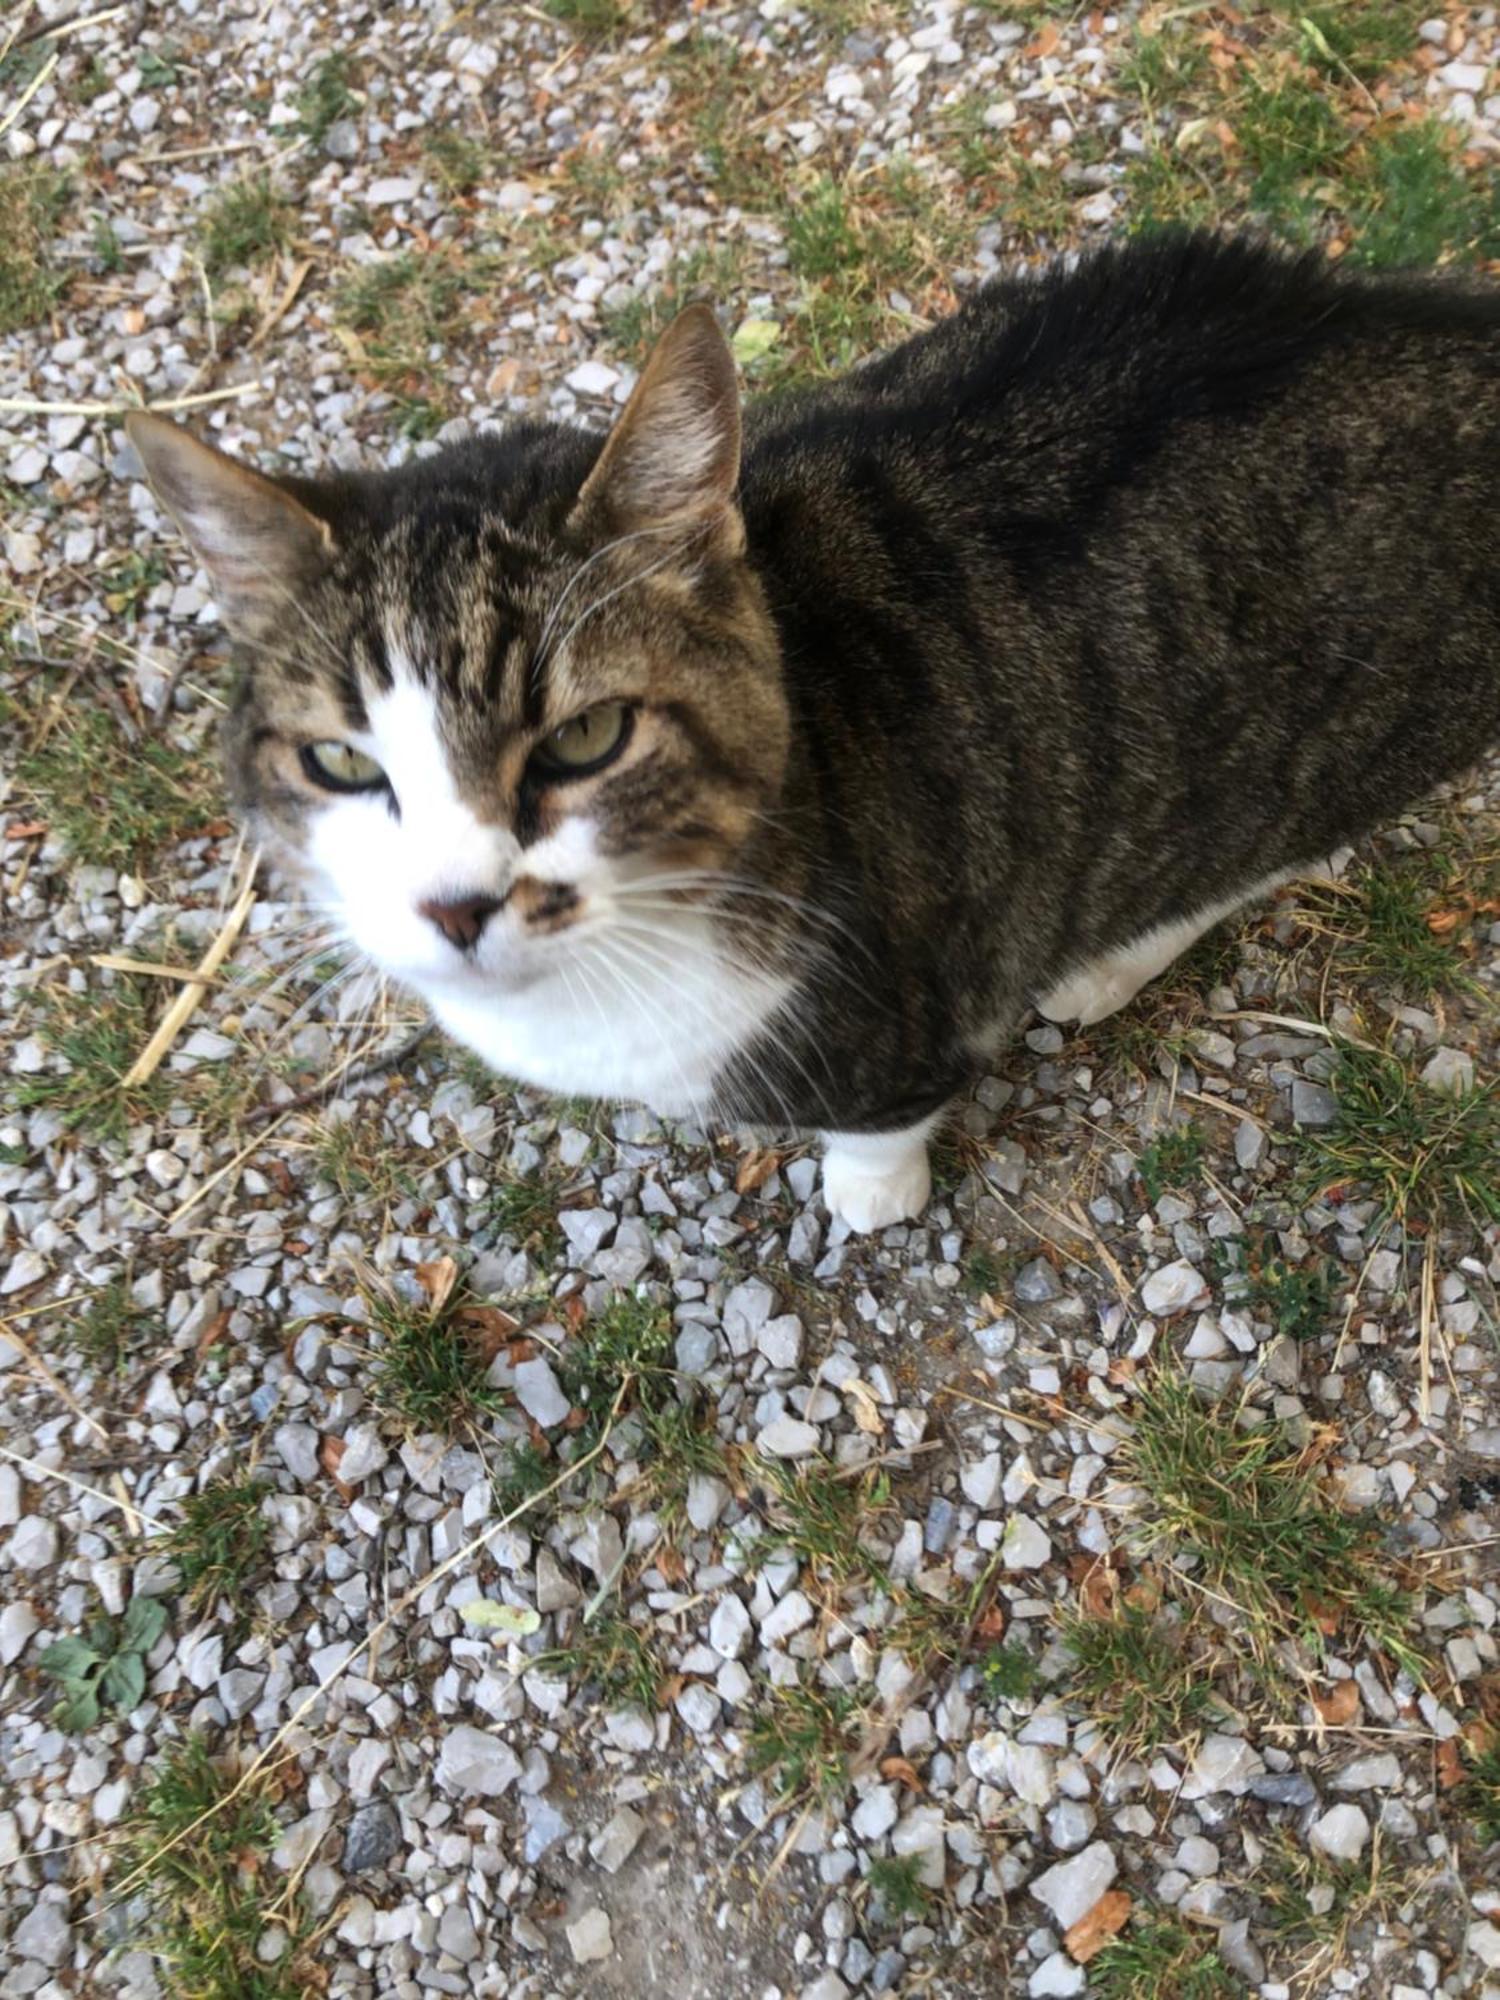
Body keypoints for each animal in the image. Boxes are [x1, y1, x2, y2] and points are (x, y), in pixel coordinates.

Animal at [129, 234, 1500, 1232]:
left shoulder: (900, 1021)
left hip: (1344, 739)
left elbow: (882, 1120)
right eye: (341, 761)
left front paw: (869, 1193)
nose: (457, 906)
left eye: (588, 737)